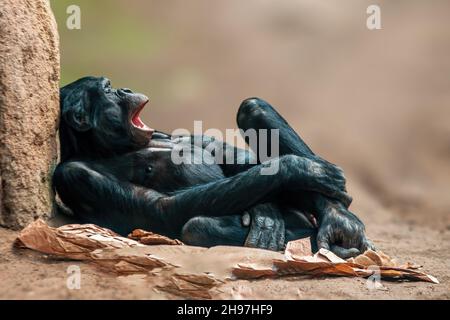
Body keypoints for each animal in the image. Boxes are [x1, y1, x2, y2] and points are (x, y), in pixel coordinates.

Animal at [52, 76, 374, 258]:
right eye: (109, 91)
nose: (125, 88)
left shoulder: (170, 134)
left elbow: (229, 158)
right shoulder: (77, 176)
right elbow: (161, 208)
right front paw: (299, 169)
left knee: (252, 108)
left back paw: (340, 223)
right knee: (197, 228)